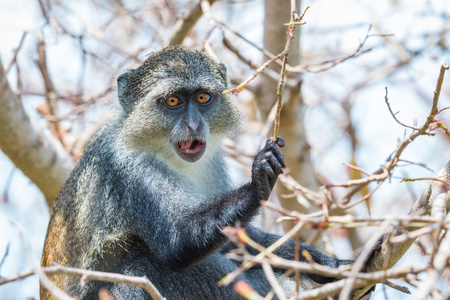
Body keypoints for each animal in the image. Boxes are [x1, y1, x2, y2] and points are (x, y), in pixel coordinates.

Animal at [40, 45, 376, 300]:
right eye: (173, 101)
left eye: (203, 98)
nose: (193, 125)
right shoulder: (125, 167)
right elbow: (177, 240)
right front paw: (259, 179)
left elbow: (235, 240)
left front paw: (329, 264)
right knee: (134, 260)